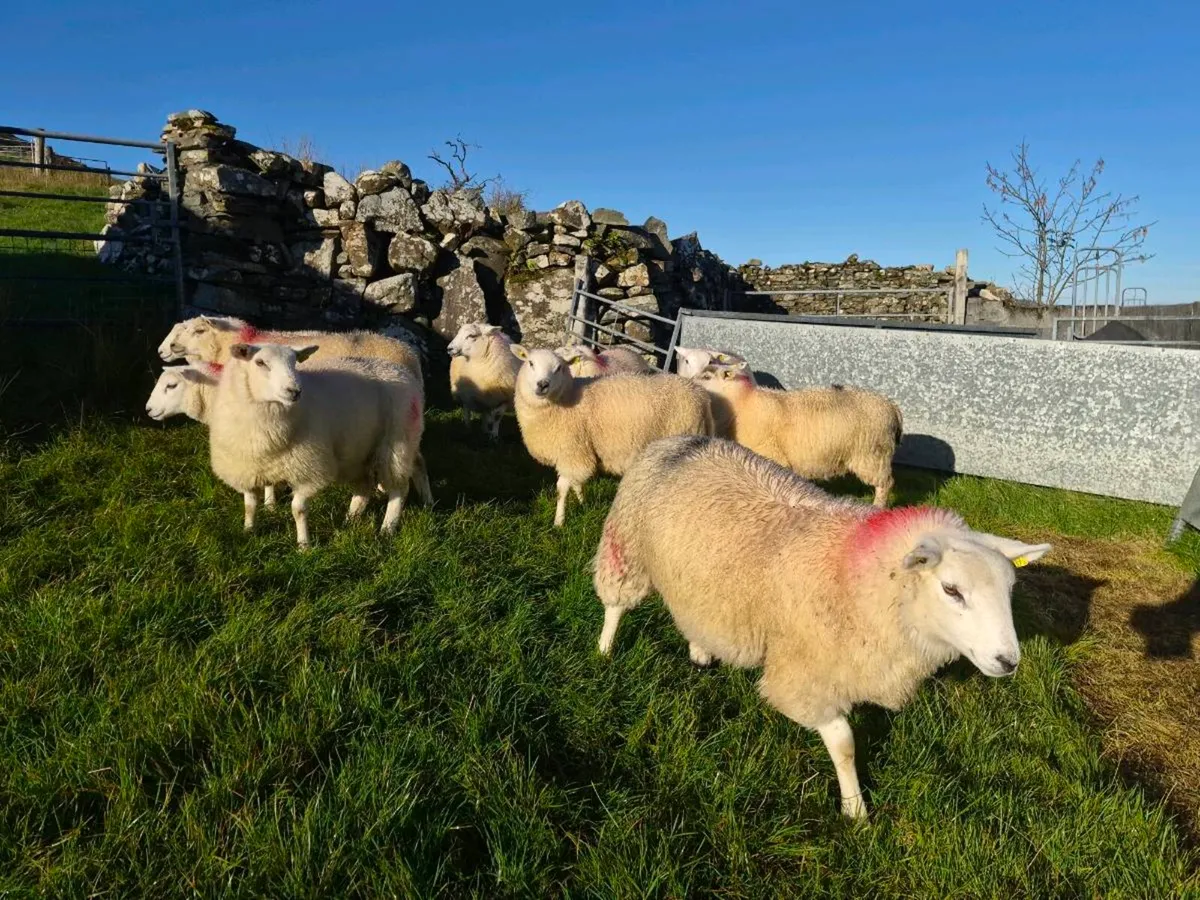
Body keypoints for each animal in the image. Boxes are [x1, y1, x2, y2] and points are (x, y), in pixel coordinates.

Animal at [207, 342, 426, 549]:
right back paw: (351, 520)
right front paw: (248, 531)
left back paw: (387, 528)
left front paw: (304, 545)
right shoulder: (247, 469)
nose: (295, 391)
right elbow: (250, 505)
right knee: (364, 487)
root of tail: (402, 370)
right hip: (358, 450)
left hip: (397, 444)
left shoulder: (308, 470)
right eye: (260, 362)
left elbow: (298, 510)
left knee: (399, 489)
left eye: (295, 362)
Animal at [509, 345, 713, 526]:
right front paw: (583, 502)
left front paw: (559, 522)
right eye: (530, 363)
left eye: (559, 368)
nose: (542, 384)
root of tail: (700, 394)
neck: (565, 399)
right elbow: (577, 483)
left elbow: (562, 489)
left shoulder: (572, 451)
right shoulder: (581, 451)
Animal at [593, 434, 1051, 819]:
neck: (857, 577)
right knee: (616, 605)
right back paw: (604, 650)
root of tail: (682, 438)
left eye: (1010, 590)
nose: (1008, 661)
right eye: (952, 590)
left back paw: (700, 653)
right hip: (626, 548)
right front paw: (856, 811)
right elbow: (844, 744)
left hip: (696, 583)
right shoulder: (806, 673)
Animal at [694, 360, 901, 507]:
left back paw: (878, 506)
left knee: (886, 483)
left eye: (706, 377)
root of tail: (892, 406)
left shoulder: (771, 454)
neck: (743, 403)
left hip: (872, 454)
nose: (689, 382)